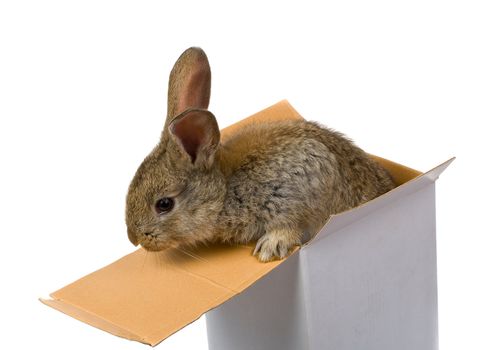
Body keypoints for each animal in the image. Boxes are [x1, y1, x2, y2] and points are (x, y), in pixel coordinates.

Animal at [126, 46, 396, 262]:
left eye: (164, 204)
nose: (134, 238)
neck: (225, 190)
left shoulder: (299, 188)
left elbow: (291, 225)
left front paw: (269, 249)